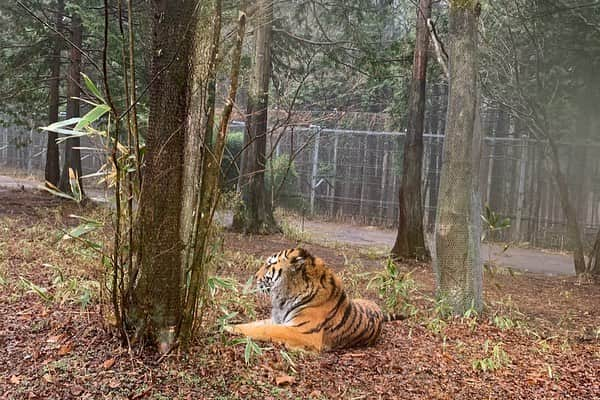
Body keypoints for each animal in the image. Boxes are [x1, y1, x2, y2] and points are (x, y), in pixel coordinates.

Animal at [227, 247, 406, 350]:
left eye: (269, 265)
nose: (255, 276)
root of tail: (379, 311)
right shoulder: (278, 320)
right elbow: (254, 324)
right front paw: (230, 323)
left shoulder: (303, 332)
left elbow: (265, 330)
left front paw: (228, 328)